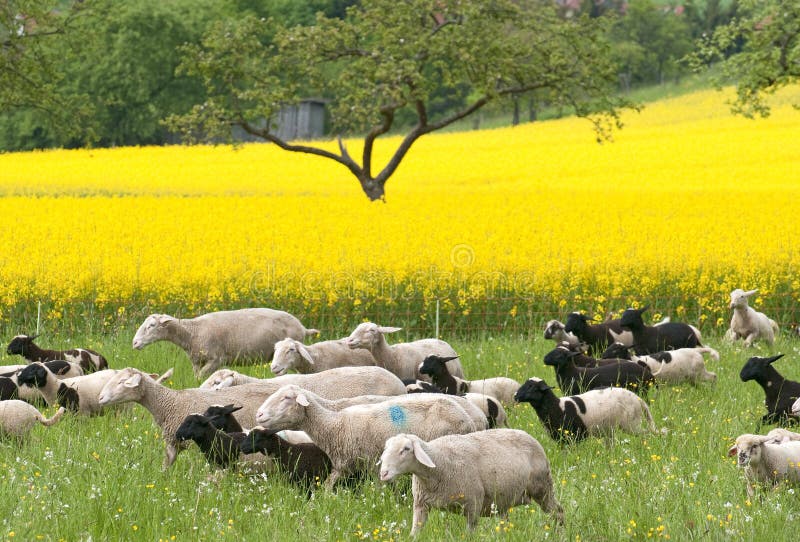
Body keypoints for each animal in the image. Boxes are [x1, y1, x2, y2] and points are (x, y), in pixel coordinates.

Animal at [131, 308, 318, 380]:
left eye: (151, 325)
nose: (134, 343)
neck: (192, 332)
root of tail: (303, 328)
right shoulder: (196, 362)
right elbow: (196, 378)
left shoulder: (216, 360)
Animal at [256, 384, 482, 490]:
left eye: (286, 398)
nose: (258, 414)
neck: (333, 425)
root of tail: (469, 418)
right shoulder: (344, 465)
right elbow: (327, 488)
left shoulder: (371, 464)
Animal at [380, 432, 564, 536]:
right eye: (386, 448)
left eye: (406, 449)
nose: (383, 473)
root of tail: (529, 435)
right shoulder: (420, 505)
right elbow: (415, 533)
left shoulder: (473, 505)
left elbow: (469, 534)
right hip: (503, 500)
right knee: (504, 525)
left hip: (543, 488)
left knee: (558, 512)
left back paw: (560, 533)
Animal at [516, 376, 660, 444]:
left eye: (532, 387)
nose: (515, 396)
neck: (557, 407)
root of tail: (638, 399)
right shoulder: (561, 440)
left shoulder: (575, 437)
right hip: (611, 429)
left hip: (631, 424)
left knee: (646, 433)